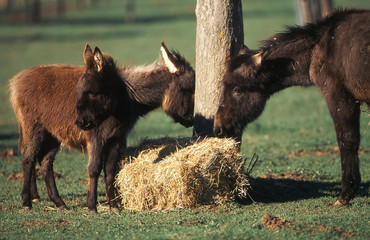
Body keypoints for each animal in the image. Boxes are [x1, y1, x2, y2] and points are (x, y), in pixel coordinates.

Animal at [8, 42, 195, 213]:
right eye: (188, 89)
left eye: (91, 92)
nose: (191, 120)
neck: (124, 98)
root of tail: (16, 80)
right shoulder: (96, 138)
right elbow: (94, 168)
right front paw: (92, 206)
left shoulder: (116, 138)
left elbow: (110, 171)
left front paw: (114, 206)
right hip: (35, 129)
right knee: (28, 158)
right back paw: (27, 202)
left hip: (52, 135)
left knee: (46, 163)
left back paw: (59, 202)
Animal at [214, 8, 370, 204]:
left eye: (237, 89)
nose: (218, 128)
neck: (318, 49)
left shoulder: (341, 99)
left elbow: (347, 140)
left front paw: (346, 194)